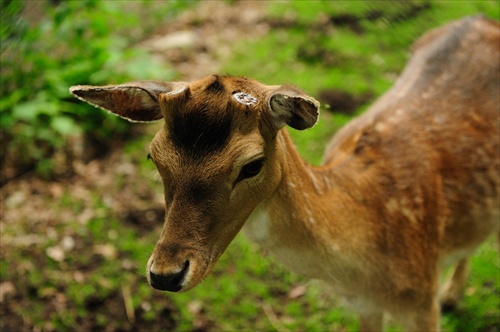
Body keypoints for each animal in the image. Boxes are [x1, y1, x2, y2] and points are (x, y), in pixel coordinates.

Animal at [71, 16, 500, 332]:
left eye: (252, 165)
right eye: (153, 156)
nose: (164, 274)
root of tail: (481, 18)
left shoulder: (421, 304)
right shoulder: (362, 306)